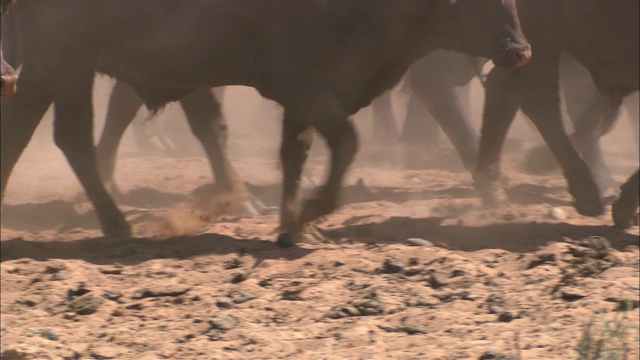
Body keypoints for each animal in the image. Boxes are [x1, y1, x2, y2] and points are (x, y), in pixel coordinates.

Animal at [0, 0, 528, 246]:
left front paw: (293, 226)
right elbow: (345, 142)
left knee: (19, 131)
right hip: (67, 67)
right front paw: (312, 214)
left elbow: (296, 154)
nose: (520, 50)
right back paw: (116, 223)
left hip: (45, 73)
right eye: (475, 1)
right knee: (71, 138)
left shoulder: (305, 98)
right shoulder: (303, 88)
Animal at [472, 0, 636, 219]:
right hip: (542, 35)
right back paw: (587, 194)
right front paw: (624, 207)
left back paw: (491, 186)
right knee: (540, 101)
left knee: (503, 87)